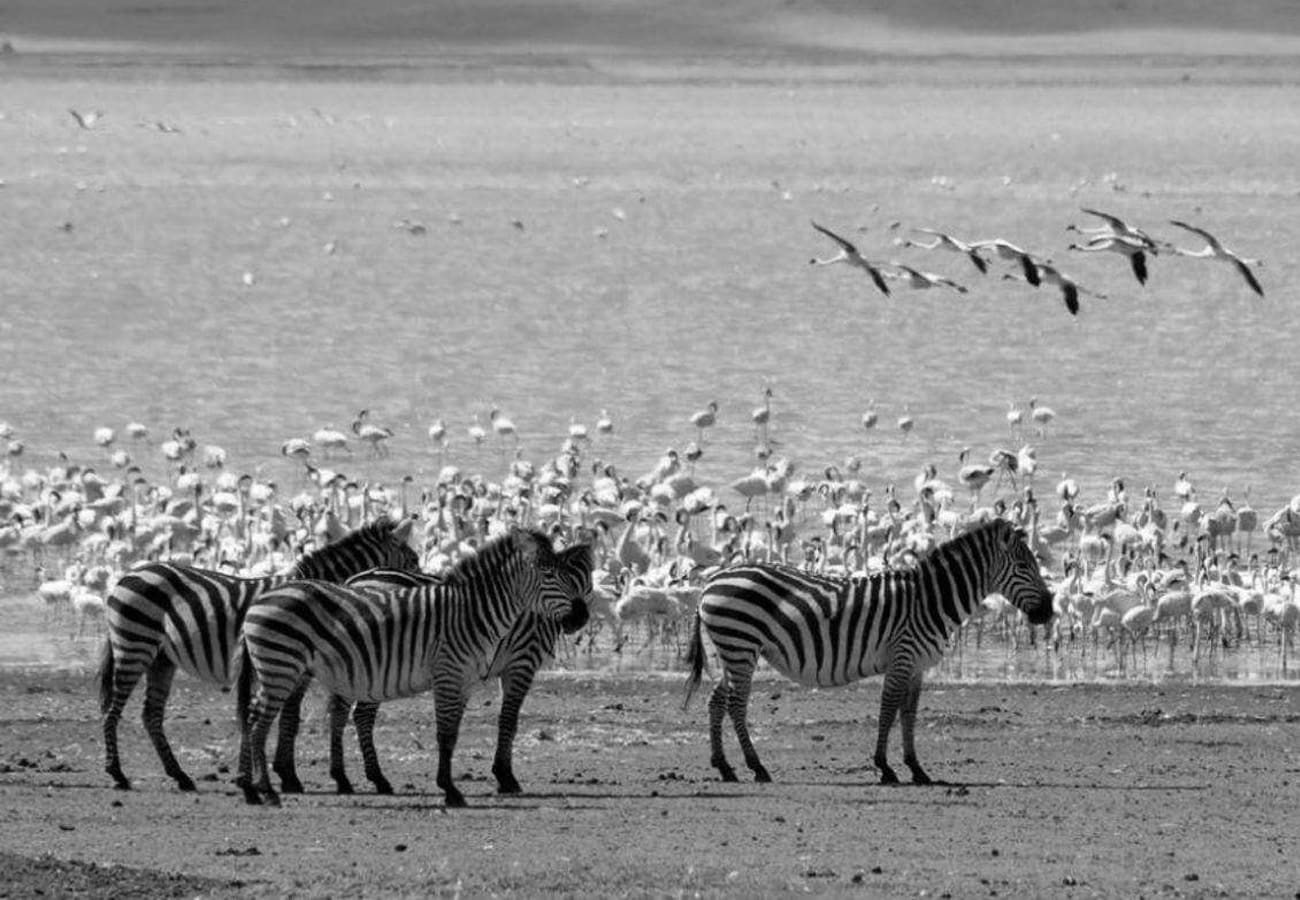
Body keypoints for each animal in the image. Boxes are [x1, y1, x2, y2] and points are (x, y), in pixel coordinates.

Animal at [99, 517, 418, 790]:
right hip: (135, 645)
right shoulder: (294, 666)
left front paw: (281, 772)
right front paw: (287, 776)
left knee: (150, 714)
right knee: (113, 709)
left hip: (161, 658)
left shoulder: (296, 668)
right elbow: (289, 717)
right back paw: (117, 773)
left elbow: (288, 716)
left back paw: (180, 775)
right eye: (414, 561)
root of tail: (128, 574)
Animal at [236, 528, 592, 806]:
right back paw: (268, 790)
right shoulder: (466, 670)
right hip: (283, 666)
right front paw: (459, 788)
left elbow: (454, 734)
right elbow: (454, 731)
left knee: (256, 716)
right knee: (261, 721)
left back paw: (253, 788)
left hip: (290, 667)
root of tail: (261, 600)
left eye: (584, 581)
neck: (473, 612)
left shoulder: (465, 680)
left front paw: (454, 785)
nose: (580, 618)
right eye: (550, 574)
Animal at [686, 520, 1050, 785]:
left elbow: (908, 715)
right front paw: (886, 768)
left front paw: (917, 769)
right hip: (741, 644)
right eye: (1023, 566)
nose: (1048, 612)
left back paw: (725, 767)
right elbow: (888, 710)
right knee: (736, 704)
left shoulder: (917, 666)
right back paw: (756, 767)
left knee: (717, 701)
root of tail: (711, 582)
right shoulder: (902, 655)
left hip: (735, 649)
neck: (930, 600)